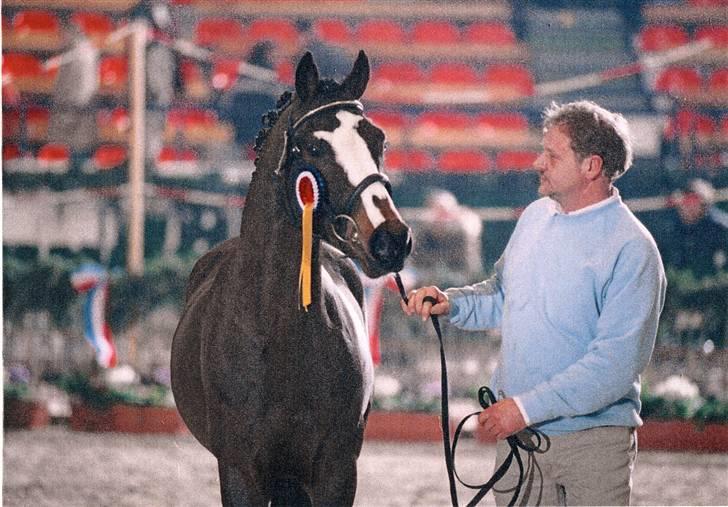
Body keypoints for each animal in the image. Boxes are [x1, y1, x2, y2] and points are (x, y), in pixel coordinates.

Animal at [170, 48, 410, 507]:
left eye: (378, 139)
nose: (390, 239)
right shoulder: (241, 473)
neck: (279, 336)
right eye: (314, 146)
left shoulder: (335, 473)